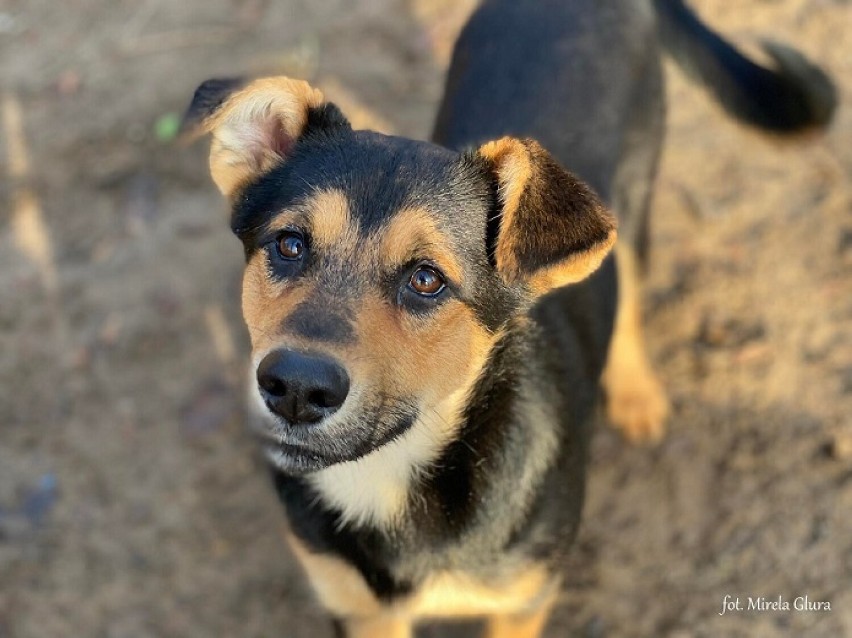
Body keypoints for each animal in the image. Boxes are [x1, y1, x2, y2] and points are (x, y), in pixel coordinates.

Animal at [185, 1, 832, 638]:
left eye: (426, 280)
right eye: (289, 244)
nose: (295, 387)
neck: (392, 477)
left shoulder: (523, 599)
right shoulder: (356, 609)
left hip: (633, 200)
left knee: (628, 295)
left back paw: (636, 394)